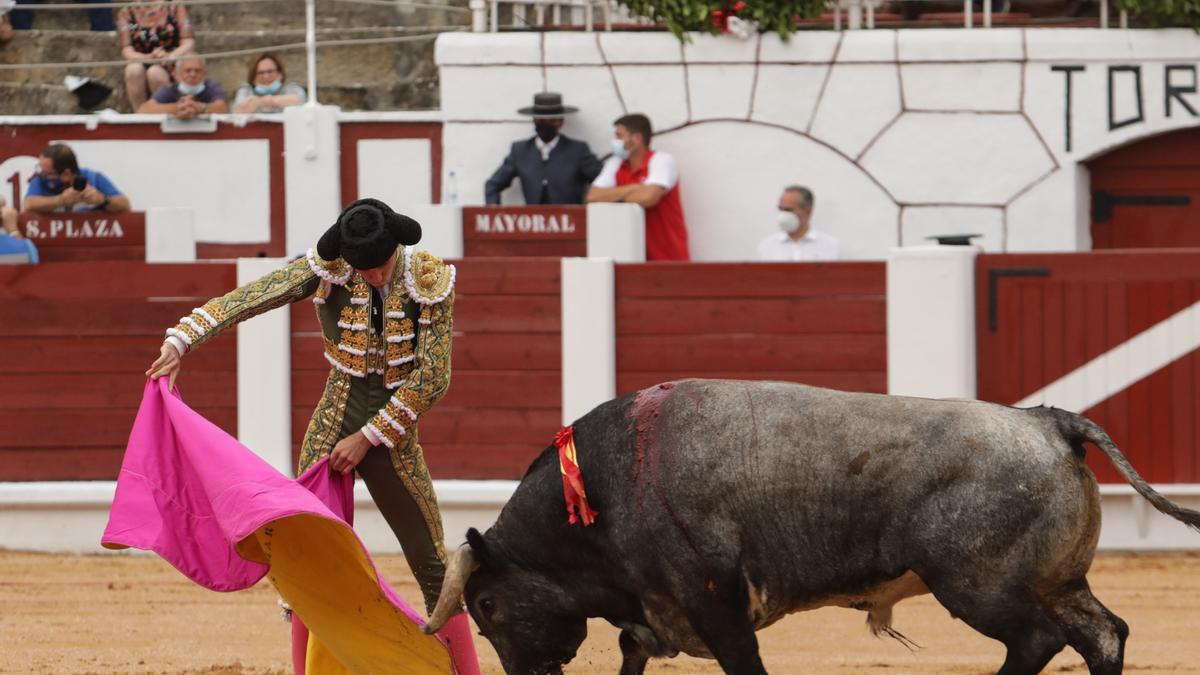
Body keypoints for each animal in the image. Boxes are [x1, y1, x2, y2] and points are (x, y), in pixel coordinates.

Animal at [420, 379, 1200, 672]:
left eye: (486, 604)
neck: (605, 489)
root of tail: (1049, 421)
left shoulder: (713, 602)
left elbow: (743, 662)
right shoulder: (653, 615)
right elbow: (630, 654)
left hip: (979, 586)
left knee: (1038, 639)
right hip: (1060, 580)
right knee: (1103, 633)